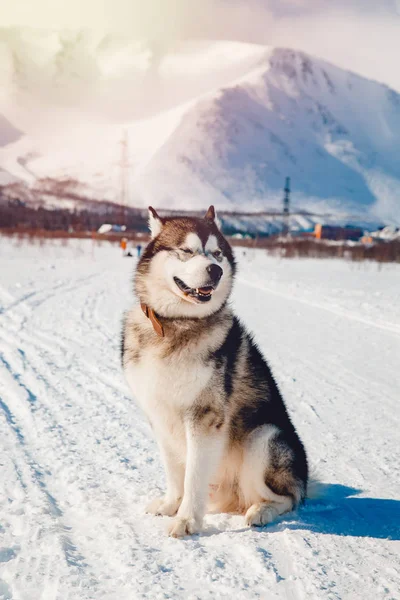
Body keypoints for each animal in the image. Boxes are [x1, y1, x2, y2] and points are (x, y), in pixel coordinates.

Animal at [122, 207, 310, 540]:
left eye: (218, 253)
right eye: (186, 251)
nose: (215, 270)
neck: (175, 324)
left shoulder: (204, 417)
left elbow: (193, 476)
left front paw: (186, 520)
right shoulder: (159, 416)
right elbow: (175, 472)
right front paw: (171, 505)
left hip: (262, 437)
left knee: (288, 498)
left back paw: (261, 511)